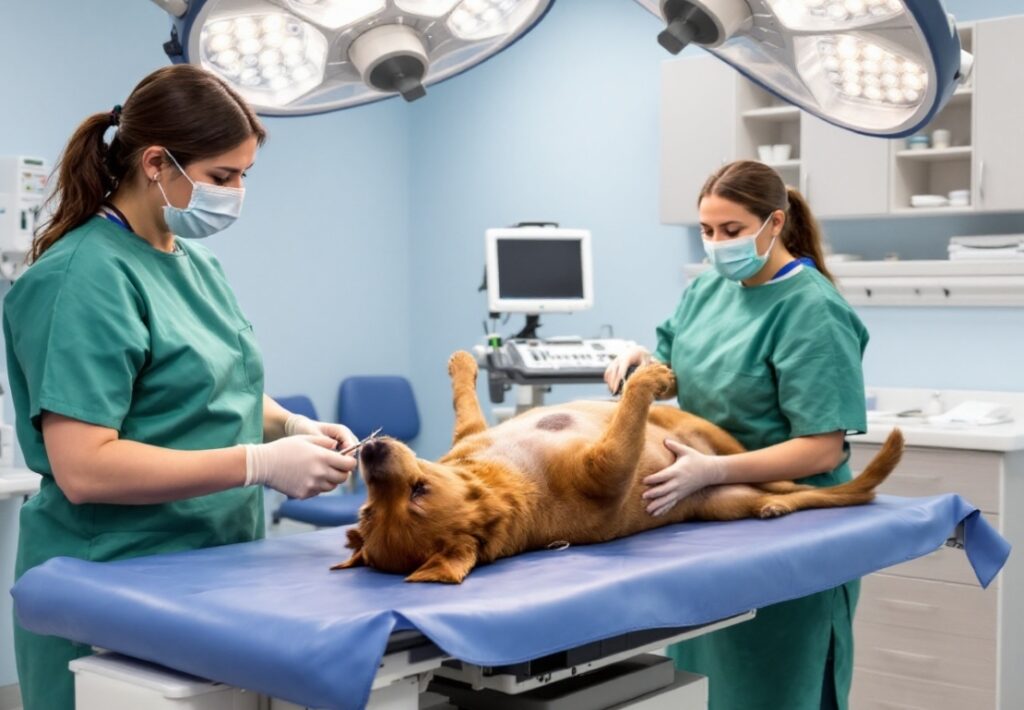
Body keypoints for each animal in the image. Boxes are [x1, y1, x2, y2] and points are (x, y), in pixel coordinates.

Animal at [331, 352, 901, 586]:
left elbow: (464, 398)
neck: (507, 482)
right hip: (729, 499)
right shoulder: (607, 468)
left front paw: (462, 362)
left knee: (795, 480)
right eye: (412, 495)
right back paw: (790, 503)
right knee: (822, 494)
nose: (368, 451)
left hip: (717, 442)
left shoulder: (470, 434)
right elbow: (625, 424)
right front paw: (647, 377)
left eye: (363, 511)